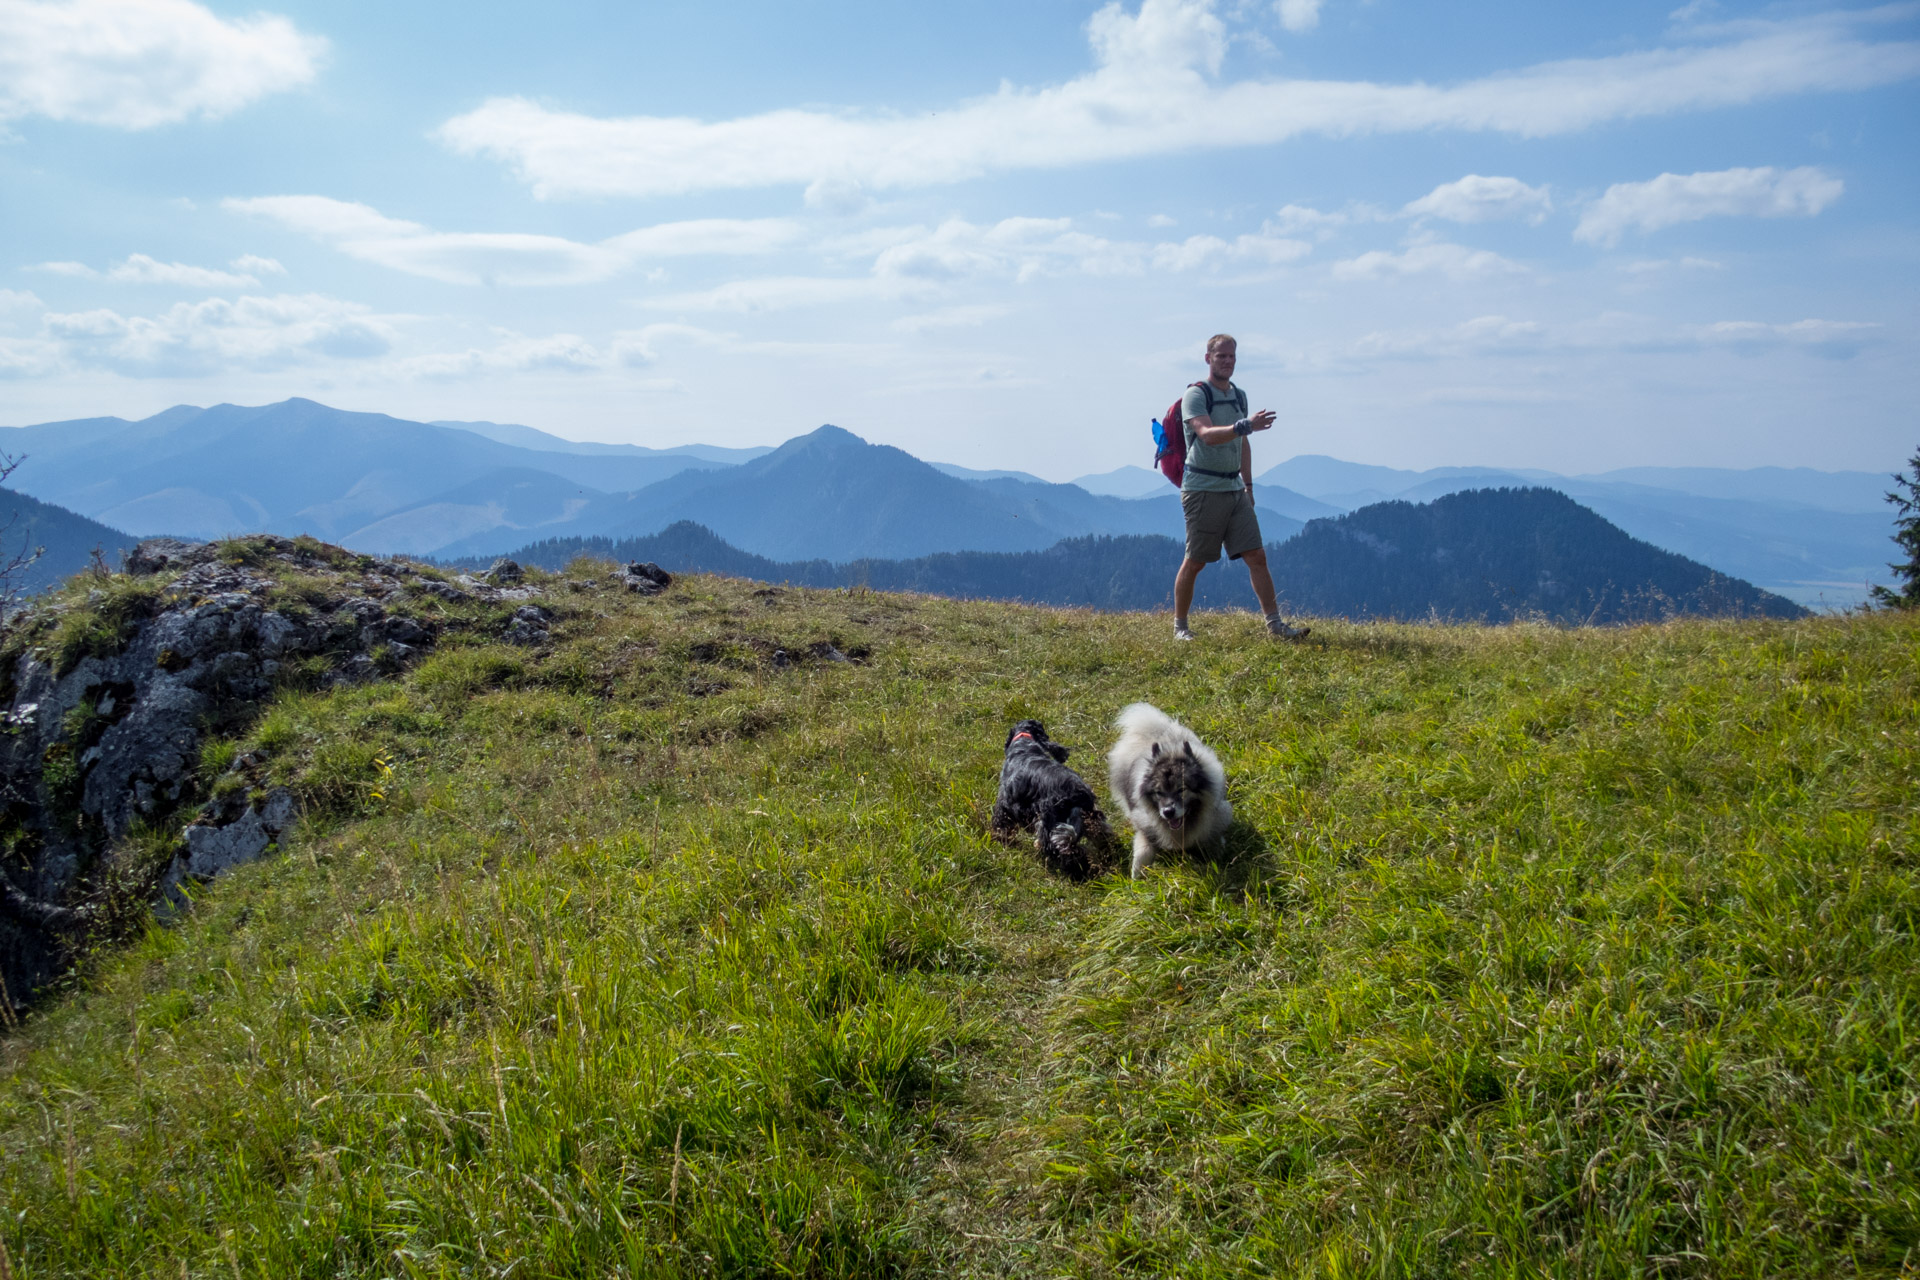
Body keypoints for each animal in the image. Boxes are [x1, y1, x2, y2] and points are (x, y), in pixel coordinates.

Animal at [990, 721, 1113, 882]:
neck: (1024, 743)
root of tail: (1078, 792)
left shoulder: (1006, 801)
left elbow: (1001, 822)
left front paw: (1000, 838)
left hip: (1049, 823)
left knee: (1064, 849)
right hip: (1091, 819)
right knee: (1102, 835)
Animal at [1113, 706, 1228, 875]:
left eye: (1181, 789)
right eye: (1158, 792)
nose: (1168, 812)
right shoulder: (1144, 826)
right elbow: (1143, 851)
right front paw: (1137, 875)